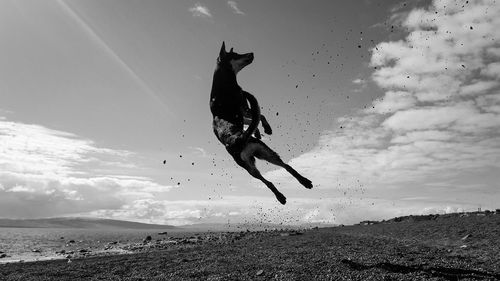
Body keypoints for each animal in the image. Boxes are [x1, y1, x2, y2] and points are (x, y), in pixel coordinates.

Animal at [208, 41, 310, 203]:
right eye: (236, 55)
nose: (252, 53)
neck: (222, 81)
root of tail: (237, 139)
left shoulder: (243, 113)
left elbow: (253, 120)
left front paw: (257, 131)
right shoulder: (244, 108)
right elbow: (260, 115)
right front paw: (266, 129)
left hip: (257, 159)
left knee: (274, 176)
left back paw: (290, 190)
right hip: (258, 158)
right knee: (278, 173)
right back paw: (295, 188)